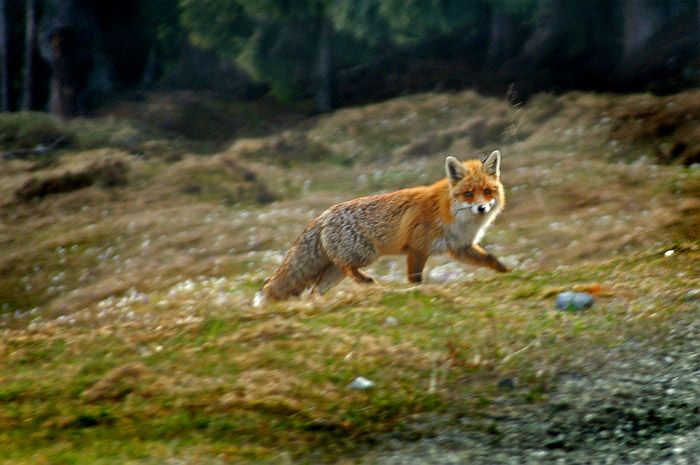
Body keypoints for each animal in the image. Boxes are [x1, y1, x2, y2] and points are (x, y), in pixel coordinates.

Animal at [254, 149, 506, 306]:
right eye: (468, 194)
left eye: (487, 191)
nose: (482, 208)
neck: (452, 214)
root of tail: (323, 215)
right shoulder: (417, 248)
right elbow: (415, 278)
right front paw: (418, 292)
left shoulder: (460, 247)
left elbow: (492, 260)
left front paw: (508, 273)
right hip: (365, 254)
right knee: (346, 267)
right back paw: (367, 281)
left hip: (335, 271)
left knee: (316, 289)